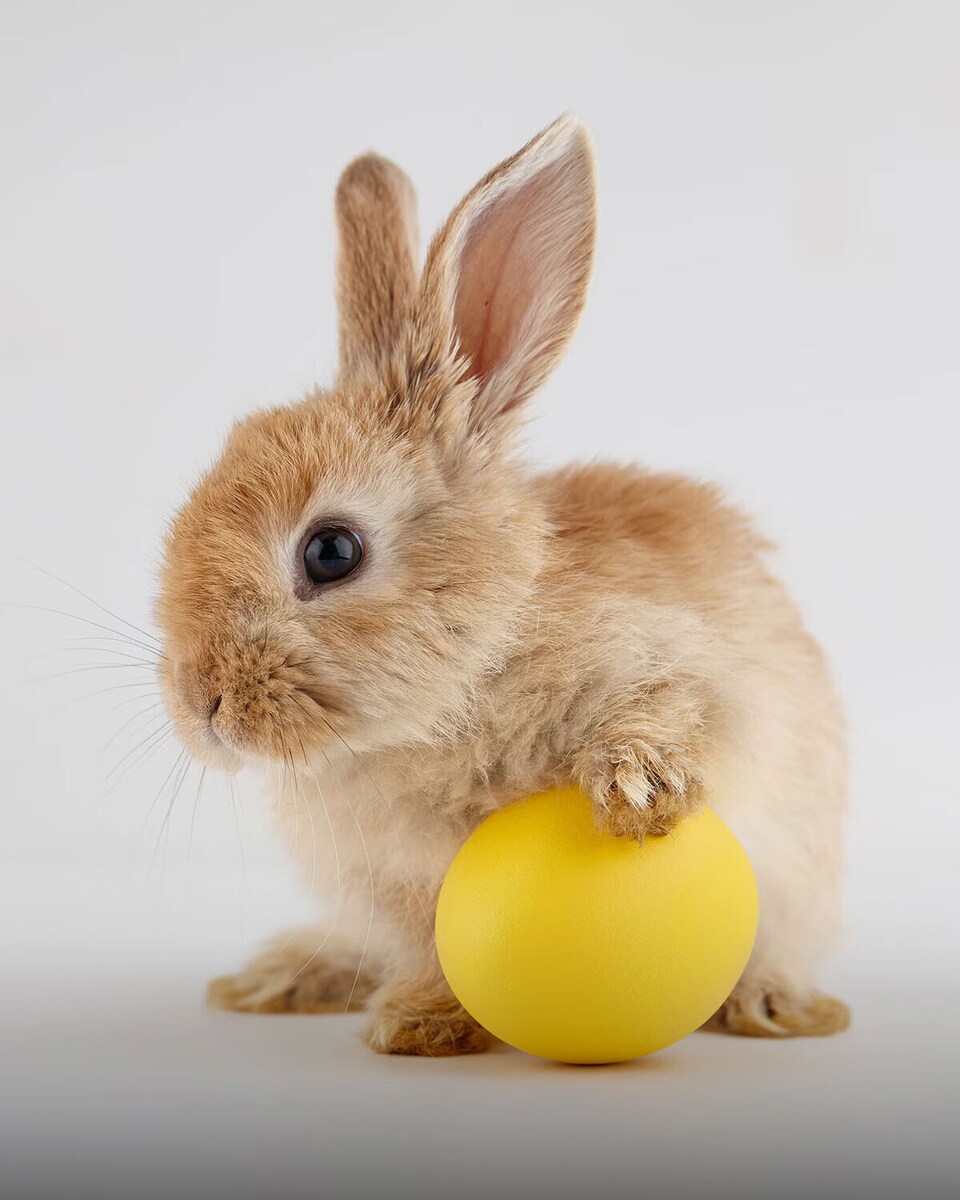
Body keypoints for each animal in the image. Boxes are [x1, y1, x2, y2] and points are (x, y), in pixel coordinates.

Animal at [158, 115, 850, 1056]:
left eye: (331, 551)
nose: (204, 707)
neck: (466, 672)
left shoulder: (693, 671)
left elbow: (667, 713)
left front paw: (636, 795)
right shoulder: (398, 887)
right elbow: (435, 948)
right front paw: (420, 1024)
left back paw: (776, 1005)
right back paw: (286, 976)